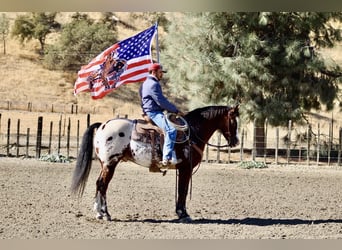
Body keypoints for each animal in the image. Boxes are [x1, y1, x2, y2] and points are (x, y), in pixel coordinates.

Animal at [71, 104, 239, 222]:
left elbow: (182, 190)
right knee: (102, 184)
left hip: (105, 165)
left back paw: (99, 213)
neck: (192, 132)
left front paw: (181, 213)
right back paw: (105, 214)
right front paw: (183, 214)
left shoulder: (183, 169)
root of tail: (102, 125)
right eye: (233, 121)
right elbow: (183, 191)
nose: (236, 142)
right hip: (110, 164)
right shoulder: (185, 169)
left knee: (99, 184)